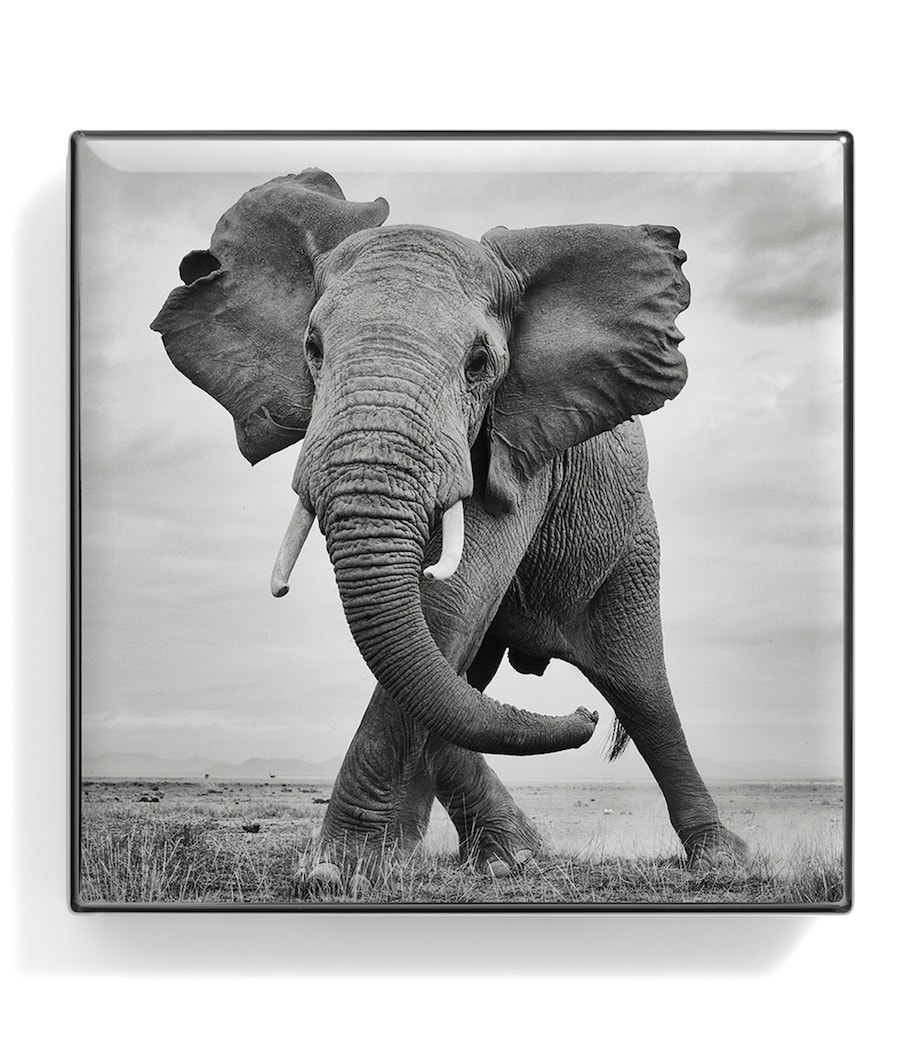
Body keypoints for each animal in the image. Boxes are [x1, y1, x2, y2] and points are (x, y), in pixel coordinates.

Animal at [151, 168, 748, 891]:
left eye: (479, 363)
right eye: (312, 350)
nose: (581, 718)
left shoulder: (518, 443)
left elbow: (448, 605)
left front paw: (338, 873)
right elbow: (437, 649)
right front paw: (385, 866)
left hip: (630, 540)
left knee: (640, 688)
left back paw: (721, 861)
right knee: (470, 681)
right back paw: (489, 856)